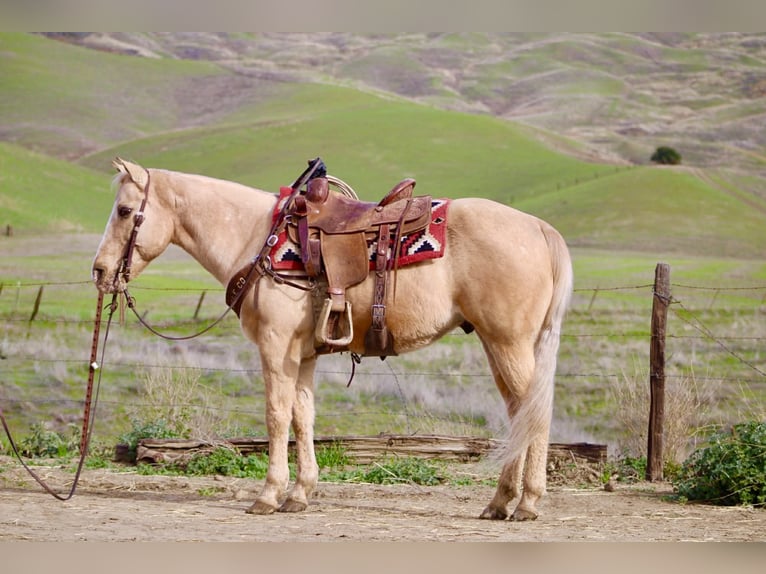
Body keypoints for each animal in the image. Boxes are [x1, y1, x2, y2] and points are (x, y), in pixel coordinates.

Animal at [92, 157, 573, 521]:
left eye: (123, 211)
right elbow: (303, 417)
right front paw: (299, 494)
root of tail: (541, 229)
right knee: (519, 413)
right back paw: (500, 502)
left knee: (535, 413)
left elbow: (276, 416)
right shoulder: (302, 354)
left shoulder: (275, 347)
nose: (99, 271)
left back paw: (527, 503)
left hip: (509, 343)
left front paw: (268, 495)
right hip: (497, 345)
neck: (257, 239)